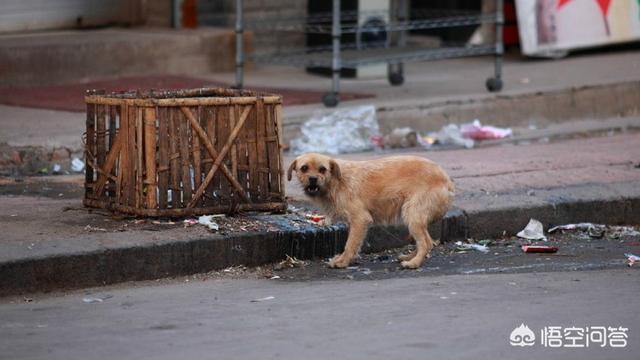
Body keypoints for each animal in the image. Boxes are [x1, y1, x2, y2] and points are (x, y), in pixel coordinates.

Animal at [288, 153, 452, 268]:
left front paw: (343, 261)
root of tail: (446, 180)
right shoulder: (354, 223)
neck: (335, 181)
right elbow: (354, 243)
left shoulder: (360, 219)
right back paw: (409, 257)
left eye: (322, 169)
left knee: (426, 243)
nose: (313, 179)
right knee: (427, 241)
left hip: (413, 215)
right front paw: (345, 259)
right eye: (304, 168)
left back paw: (414, 263)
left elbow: (350, 244)